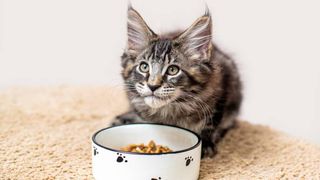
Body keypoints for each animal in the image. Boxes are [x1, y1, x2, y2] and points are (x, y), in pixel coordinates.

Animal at [112, 5, 242, 158]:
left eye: (173, 70)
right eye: (144, 67)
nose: (152, 86)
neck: (170, 111)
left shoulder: (222, 86)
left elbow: (212, 122)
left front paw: (205, 144)